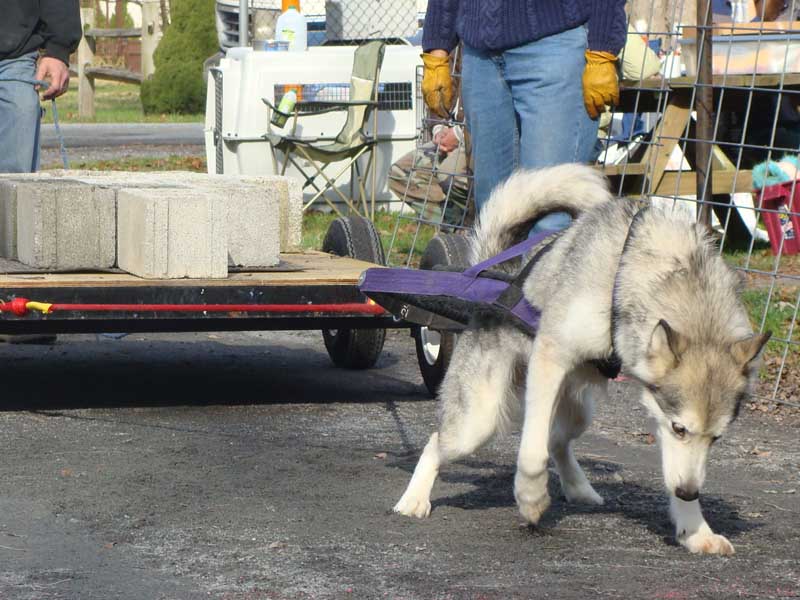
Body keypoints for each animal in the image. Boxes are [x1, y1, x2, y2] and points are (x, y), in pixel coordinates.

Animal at [394, 162, 768, 556]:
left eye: (717, 438)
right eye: (681, 428)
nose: (688, 491)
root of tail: (500, 275)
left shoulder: (655, 405)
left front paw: (695, 529)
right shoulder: (551, 357)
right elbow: (531, 454)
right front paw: (530, 499)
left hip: (578, 413)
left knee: (558, 440)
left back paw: (578, 488)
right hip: (478, 423)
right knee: (437, 443)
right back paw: (414, 500)